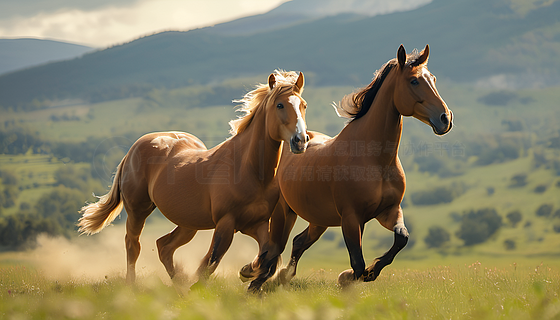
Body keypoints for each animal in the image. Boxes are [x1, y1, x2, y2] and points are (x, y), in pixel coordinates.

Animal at [77, 70, 310, 284]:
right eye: (279, 105)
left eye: (303, 105)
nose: (300, 141)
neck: (249, 170)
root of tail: (133, 149)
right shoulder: (226, 224)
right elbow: (210, 263)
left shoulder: (257, 224)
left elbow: (268, 253)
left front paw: (247, 271)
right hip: (138, 210)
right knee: (133, 245)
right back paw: (133, 286)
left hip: (188, 223)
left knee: (164, 246)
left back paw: (180, 284)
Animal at [243, 45, 452, 290]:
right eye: (414, 81)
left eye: (433, 79)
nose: (445, 118)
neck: (375, 160)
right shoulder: (351, 218)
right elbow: (357, 263)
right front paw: (347, 277)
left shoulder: (389, 211)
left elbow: (402, 238)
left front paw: (371, 272)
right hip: (283, 212)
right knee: (274, 248)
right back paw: (254, 279)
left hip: (318, 218)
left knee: (297, 242)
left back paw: (280, 276)